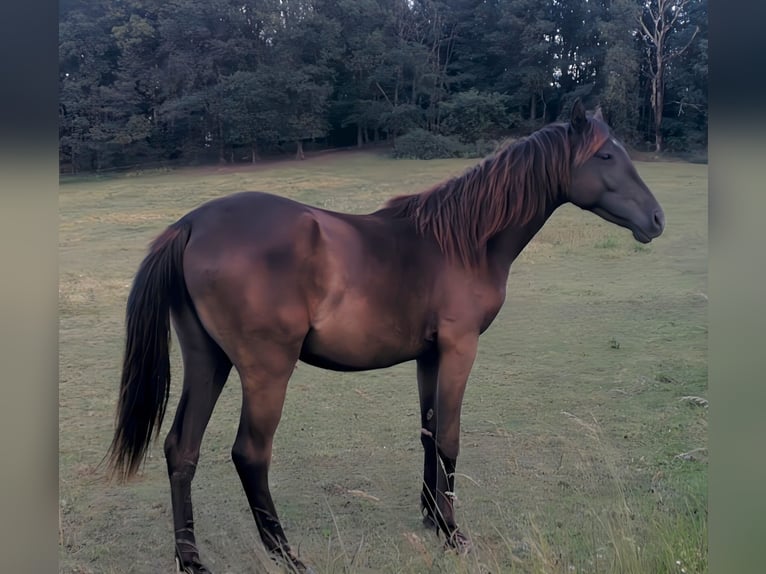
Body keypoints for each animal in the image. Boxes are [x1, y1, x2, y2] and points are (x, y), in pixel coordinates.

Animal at [106, 101, 664, 572]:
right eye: (607, 155)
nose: (657, 219)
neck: (462, 242)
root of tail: (192, 224)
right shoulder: (460, 348)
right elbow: (450, 437)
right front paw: (454, 533)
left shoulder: (429, 356)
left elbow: (428, 432)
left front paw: (432, 517)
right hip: (266, 371)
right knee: (250, 454)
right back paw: (286, 553)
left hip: (208, 361)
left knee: (182, 449)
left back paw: (191, 559)